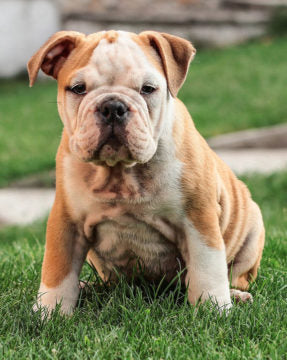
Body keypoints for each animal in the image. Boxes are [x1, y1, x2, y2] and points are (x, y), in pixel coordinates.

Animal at [27, 30, 266, 316]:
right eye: (78, 89)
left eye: (148, 89)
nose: (113, 106)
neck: (120, 173)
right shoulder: (66, 221)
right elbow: (58, 271)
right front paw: (49, 313)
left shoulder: (198, 219)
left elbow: (207, 270)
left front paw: (214, 310)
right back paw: (86, 288)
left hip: (252, 231)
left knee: (235, 275)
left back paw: (235, 295)